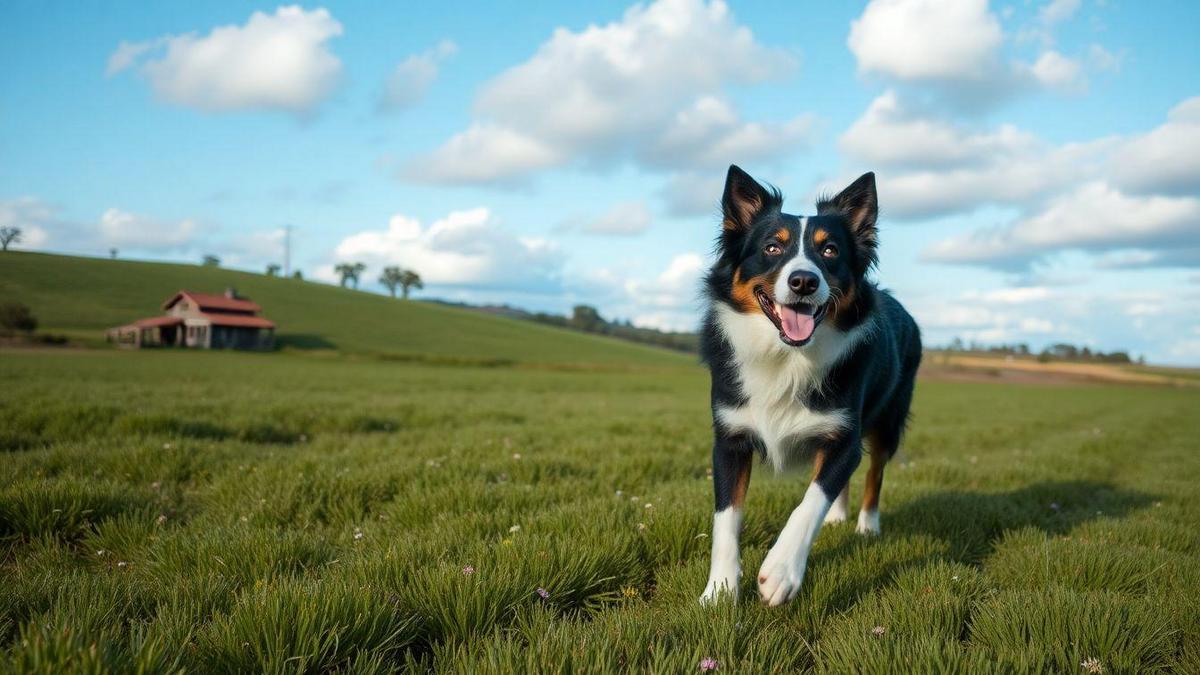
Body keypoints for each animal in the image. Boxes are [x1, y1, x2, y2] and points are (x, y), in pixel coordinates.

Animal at [696, 164, 916, 605]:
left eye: (829, 251)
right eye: (772, 248)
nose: (803, 282)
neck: (787, 357)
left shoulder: (843, 438)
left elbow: (811, 500)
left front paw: (781, 572)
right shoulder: (729, 438)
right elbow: (726, 518)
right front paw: (720, 591)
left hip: (888, 421)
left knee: (875, 471)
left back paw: (867, 526)